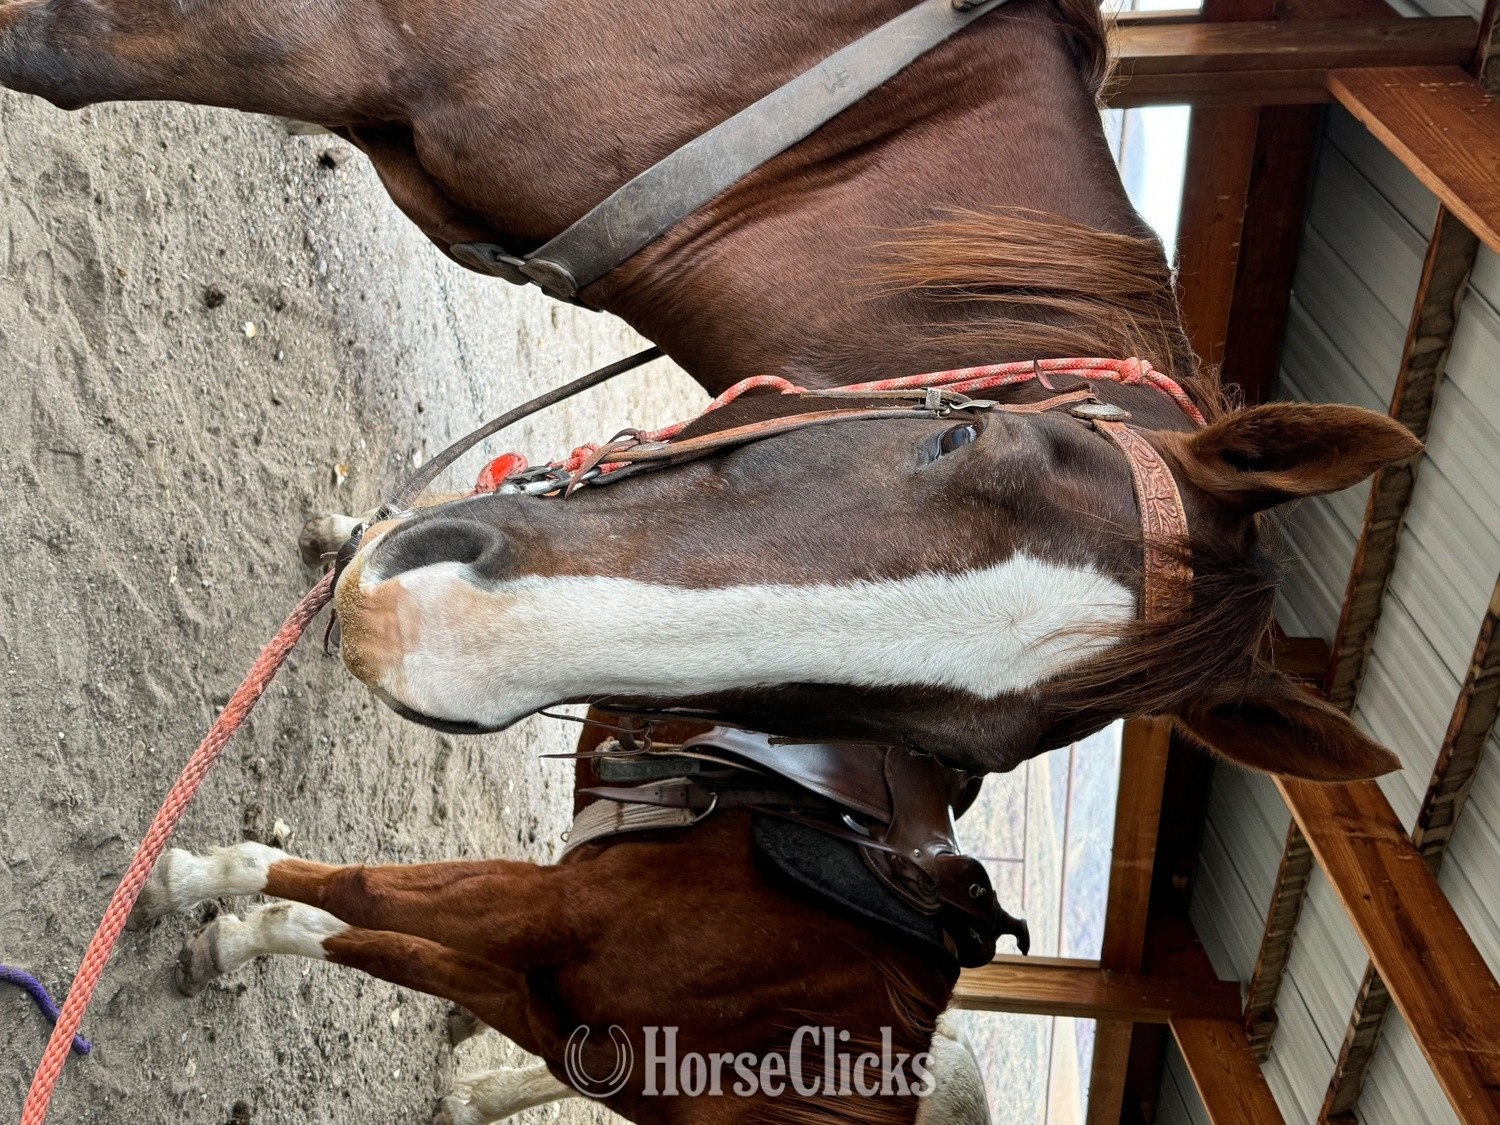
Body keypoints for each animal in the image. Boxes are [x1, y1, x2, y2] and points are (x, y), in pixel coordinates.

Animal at [125, 716, 998, 1124]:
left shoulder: (542, 932)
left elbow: (368, 908)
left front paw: (190, 890)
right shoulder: (545, 983)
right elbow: (374, 934)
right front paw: (220, 924)